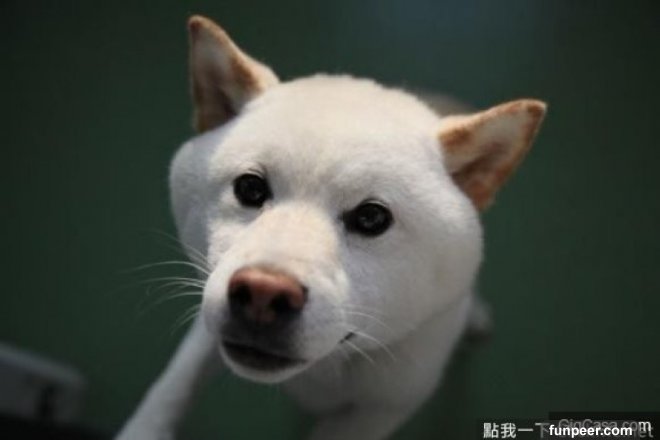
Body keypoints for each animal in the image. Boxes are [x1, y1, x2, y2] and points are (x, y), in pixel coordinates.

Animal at [117, 15, 546, 440]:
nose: (262, 293)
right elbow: (172, 388)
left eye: (371, 218)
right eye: (250, 188)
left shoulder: (385, 406)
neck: (327, 367)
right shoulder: (207, 316)